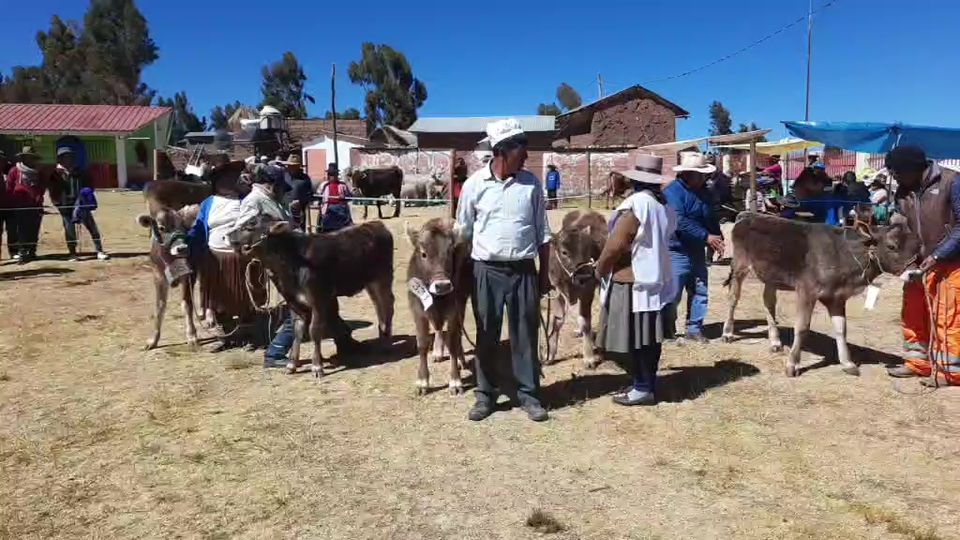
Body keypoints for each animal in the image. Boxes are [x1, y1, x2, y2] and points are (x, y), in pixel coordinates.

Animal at [136, 206, 202, 350]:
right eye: (161, 227)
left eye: (183, 226)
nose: (182, 248)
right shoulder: (158, 278)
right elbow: (159, 307)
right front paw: (153, 340)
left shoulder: (188, 275)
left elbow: (187, 304)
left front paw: (192, 335)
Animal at [227, 214, 396, 376]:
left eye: (250, 226)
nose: (227, 235)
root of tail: (376, 224)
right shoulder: (294, 303)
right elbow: (297, 332)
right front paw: (291, 365)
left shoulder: (319, 300)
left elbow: (314, 331)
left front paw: (317, 366)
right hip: (370, 283)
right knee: (379, 307)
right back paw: (382, 337)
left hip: (382, 279)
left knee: (387, 306)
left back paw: (386, 343)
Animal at [404, 217, 472, 394]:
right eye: (423, 253)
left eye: (449, 252)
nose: (442, 285)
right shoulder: (418, 311)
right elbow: (422, 344)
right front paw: (422, 382)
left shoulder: (454, 311)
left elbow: (453, 342)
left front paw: (455, 381)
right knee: (438, 328)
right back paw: (437, 351)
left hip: (462, 303)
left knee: (456, 334)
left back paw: (461, 359)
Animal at [548, 209, 608, 370]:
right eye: (564, 252)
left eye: (587, 250)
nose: (584, 276)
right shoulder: (556, 291)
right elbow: (557, 321)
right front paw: (550, 354)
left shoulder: (587, 291)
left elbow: (585, 321)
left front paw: (589, 357)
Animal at [728, 213, 924, 378]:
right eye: (892, 246)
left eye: (917, 247)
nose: (915, 274)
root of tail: (747, 214)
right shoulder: (806, 291)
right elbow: (802, 327)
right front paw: (792, 365)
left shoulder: (837, 297)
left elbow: (841, 329)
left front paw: (848, 363)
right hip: (739, 265)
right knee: (733, 298)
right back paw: (728, 333)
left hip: (771, 277)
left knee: (768, 302)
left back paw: (775, 342)